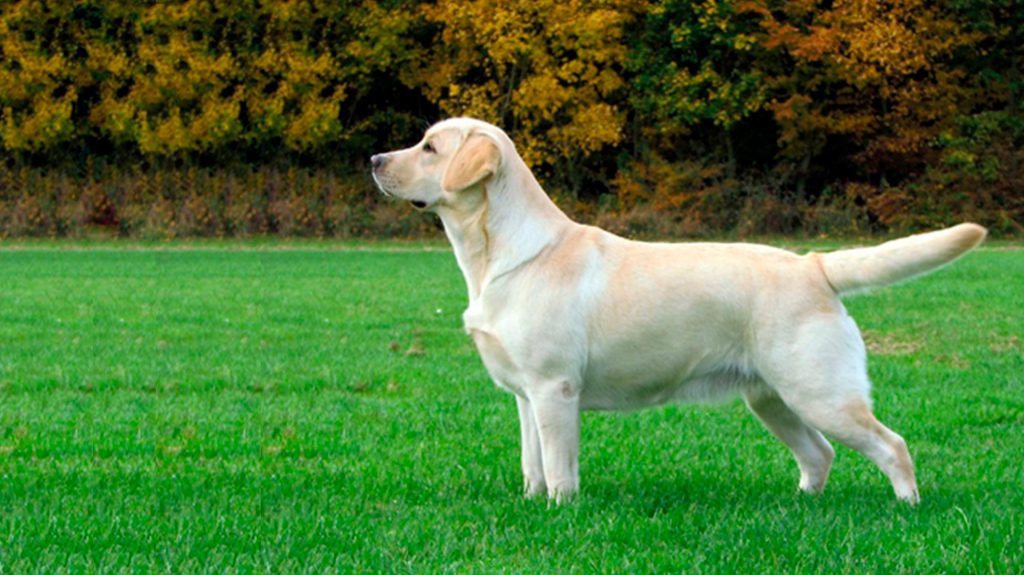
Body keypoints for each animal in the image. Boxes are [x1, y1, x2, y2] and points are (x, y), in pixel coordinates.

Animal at [370, 116, 983, 501]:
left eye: (429, 147)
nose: (374, 159)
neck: (501, 255)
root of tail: (814, 264)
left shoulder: (554, 389)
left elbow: (561, 468)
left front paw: (561, 513)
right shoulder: (525, 396)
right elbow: (532, 464)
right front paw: (532, 504)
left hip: (820, 391)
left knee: (891, 445)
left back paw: (907, 507)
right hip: (773, 398)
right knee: (819, 454)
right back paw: (802, 505)